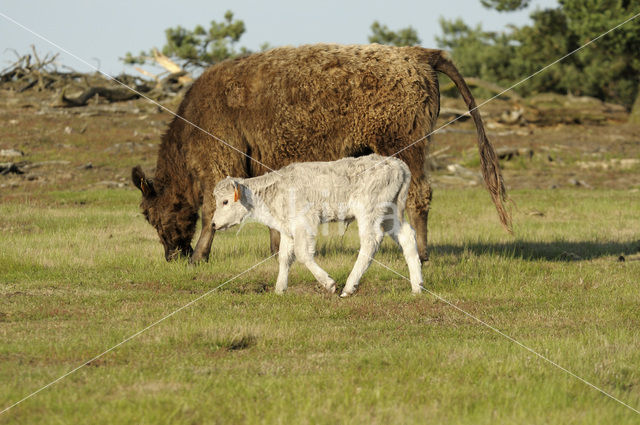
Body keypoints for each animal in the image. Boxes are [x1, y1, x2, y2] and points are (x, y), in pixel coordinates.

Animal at [131, 43, 510, 262]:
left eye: (149, 214)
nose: (172, 256)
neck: (192, 122)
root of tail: (418, 54)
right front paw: (276, 252)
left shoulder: (219, 162)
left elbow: (212, 210)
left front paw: (200, 256)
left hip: (404, 147)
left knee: (420, 194)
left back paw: (422, 253)